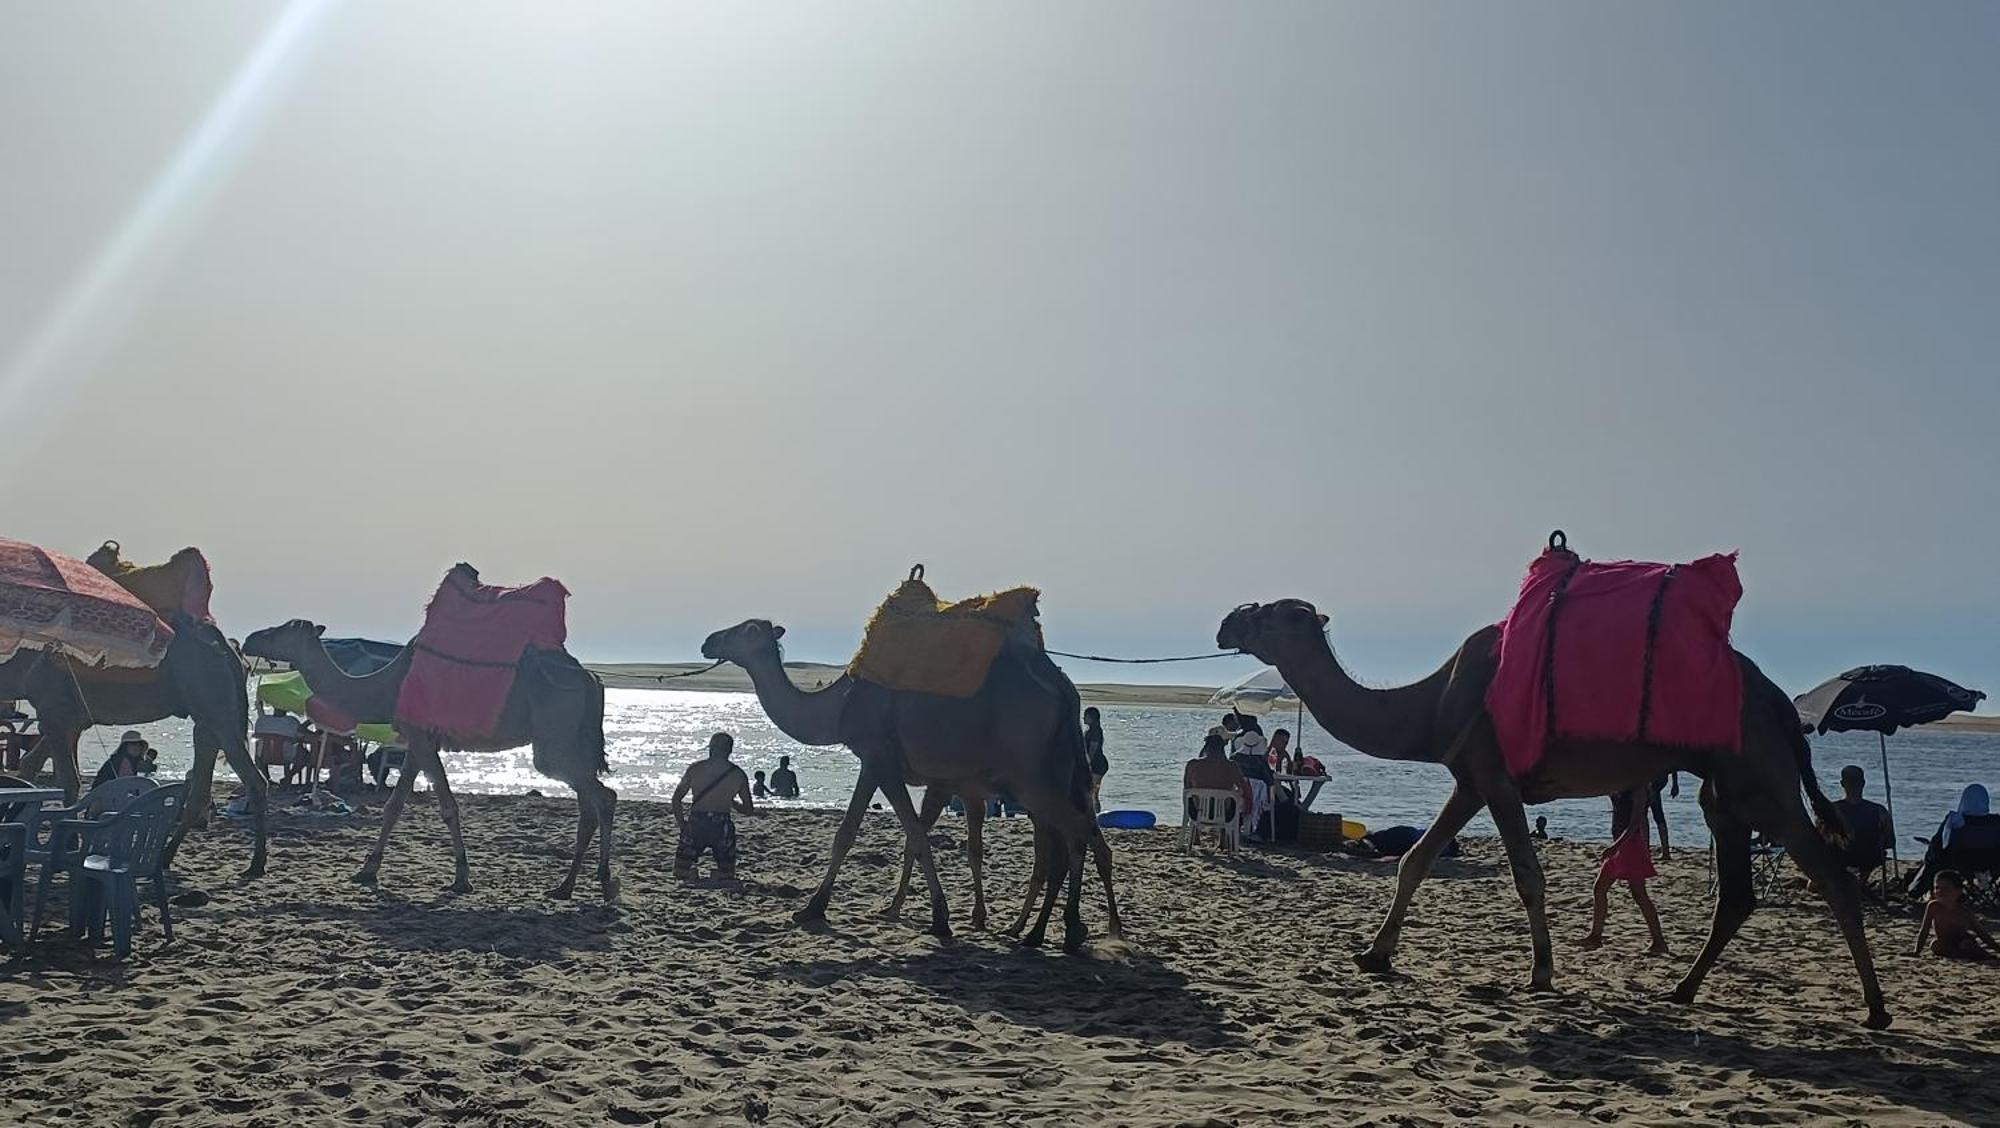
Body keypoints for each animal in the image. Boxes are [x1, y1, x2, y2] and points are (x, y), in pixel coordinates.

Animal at [0, 620, 270, 876]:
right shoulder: (71, 719)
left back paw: (256, 863)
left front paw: (69, 846)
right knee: (202, 788)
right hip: (206, 718)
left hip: (216, 707)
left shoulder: (55, 710)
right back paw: (166, 857)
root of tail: (230, 650)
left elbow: (67, 780)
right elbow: (30, 766)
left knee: (254, 779)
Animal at [235, 616, 612, 900]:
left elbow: (446, 807)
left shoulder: (421, 739)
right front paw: (367, 870)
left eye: (281, 630)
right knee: (591, 803)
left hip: (554, 741)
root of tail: (592, 679)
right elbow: (394, 805)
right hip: (570, 741)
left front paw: (461, 879)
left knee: (602, 796)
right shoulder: (417, 742)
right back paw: (577, 885)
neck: (387, 685)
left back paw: (590, 883)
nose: (250, 638)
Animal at [700, 620, 1112, 948]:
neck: (839, 705)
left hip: (1029, 776)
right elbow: (899, 835)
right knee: (1069, 838)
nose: (709, 641)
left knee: (1076, 833)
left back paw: (1066, 931)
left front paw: (814, 908)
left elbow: (874, 834)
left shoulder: (878, 757)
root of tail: (1064, 687)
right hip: (1049, 772)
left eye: (747, 629)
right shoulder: (907, 771)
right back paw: (1043, 932)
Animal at [1200, 600, 1888, 1032]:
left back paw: (1876, 1010)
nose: (1226, 621)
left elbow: (1527, 875)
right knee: (1738, 892)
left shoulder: (1497, 777)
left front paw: (1542, 973)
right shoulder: (1470, 779)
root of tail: (1779, 698)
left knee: (1831, 874)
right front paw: (1374, 955)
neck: (1432, 702)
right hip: (1725, 788)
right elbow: (1415, 860)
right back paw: (1683, 989)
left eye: (1271, 612)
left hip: (1759, 774)